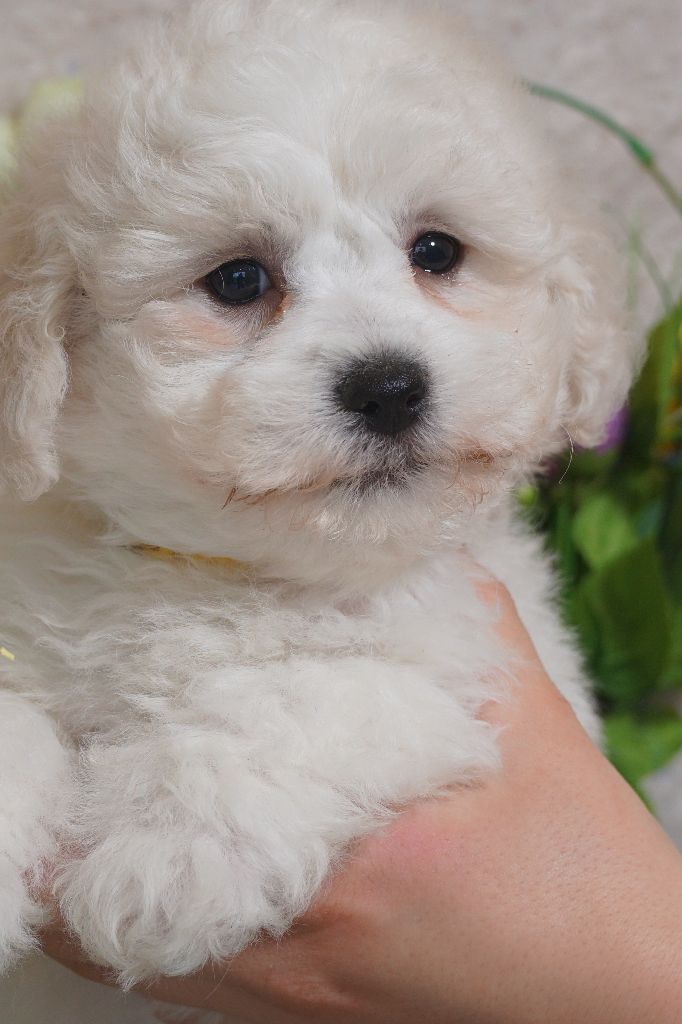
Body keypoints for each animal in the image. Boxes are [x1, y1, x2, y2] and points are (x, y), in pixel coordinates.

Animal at [0, 0, 641, 990]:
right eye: (237, 279)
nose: (389, 386)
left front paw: (169, 853)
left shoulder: (468, 662)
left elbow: (304, 692)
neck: (241, 575)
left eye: (437, 251)